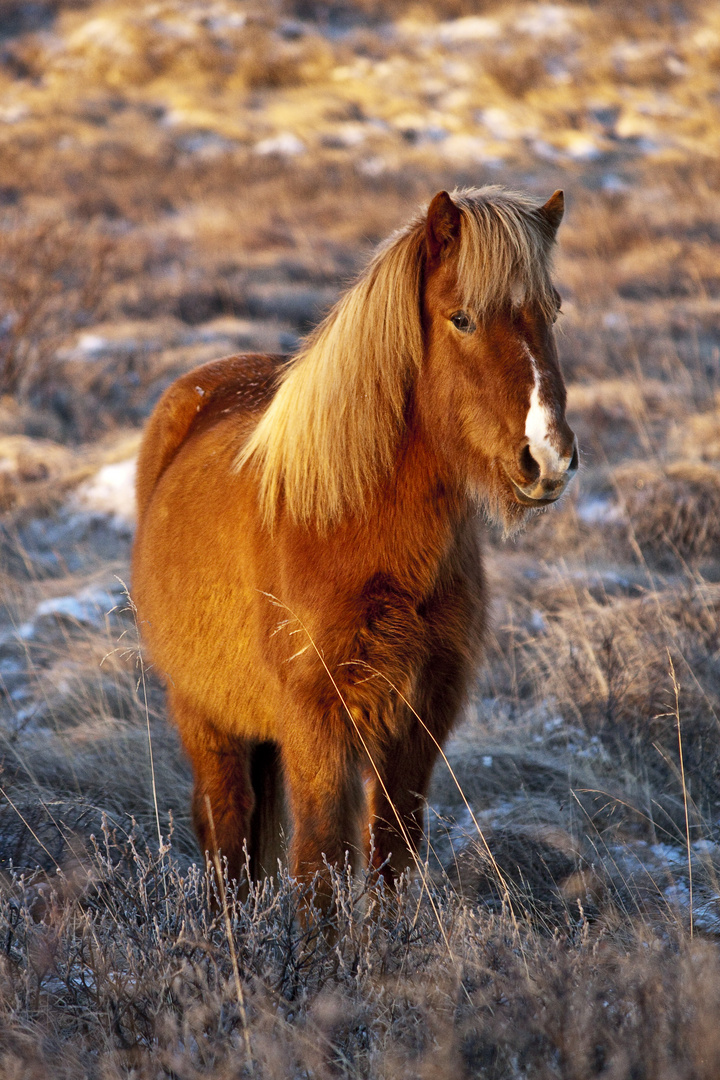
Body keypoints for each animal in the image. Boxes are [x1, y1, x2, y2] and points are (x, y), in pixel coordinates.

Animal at [131, 187, 578, 902]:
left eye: (553, 312)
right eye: (461, 318)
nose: (549, 459)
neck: (352, 528)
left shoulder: (422, 722)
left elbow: (392, 857)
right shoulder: (318, 723)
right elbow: (321, 866)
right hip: (202, 714)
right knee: (226, 829)